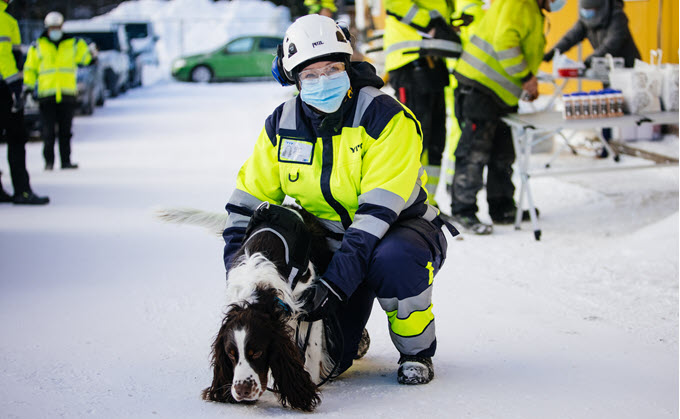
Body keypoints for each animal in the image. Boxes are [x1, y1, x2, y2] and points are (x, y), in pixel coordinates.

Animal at [155, 205, 334, 412]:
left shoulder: (311, 304)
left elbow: (312, 352)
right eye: (230, 354)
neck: (257, 286)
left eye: (256, 353)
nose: (242, 391)